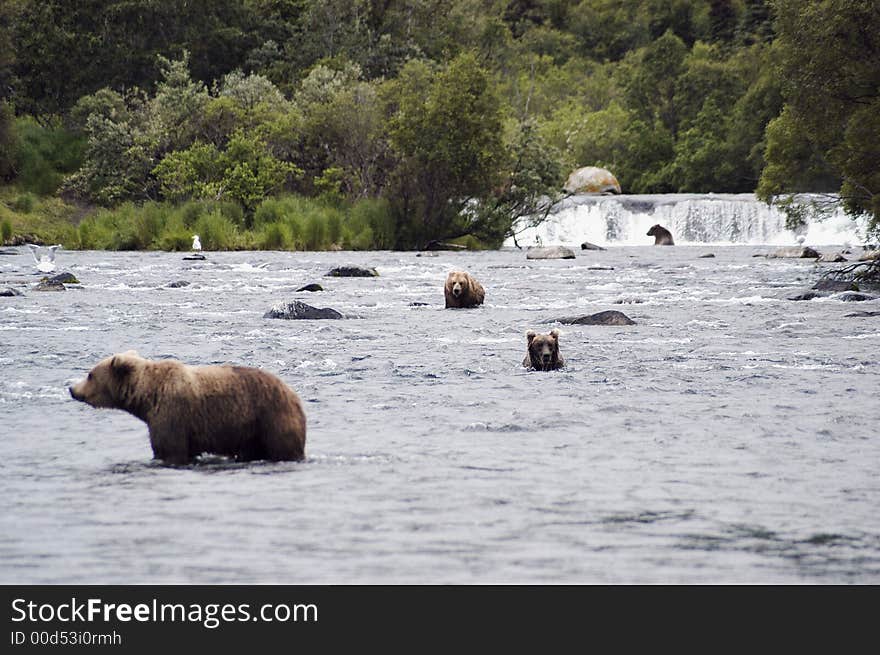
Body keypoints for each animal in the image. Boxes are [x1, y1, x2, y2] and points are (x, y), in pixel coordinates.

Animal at [68, 352, 306, 464]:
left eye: (90, 374)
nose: (72, 388)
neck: (147, 397)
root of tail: (294, 395)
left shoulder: (171, 414)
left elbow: (169, 449)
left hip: (271, 418)